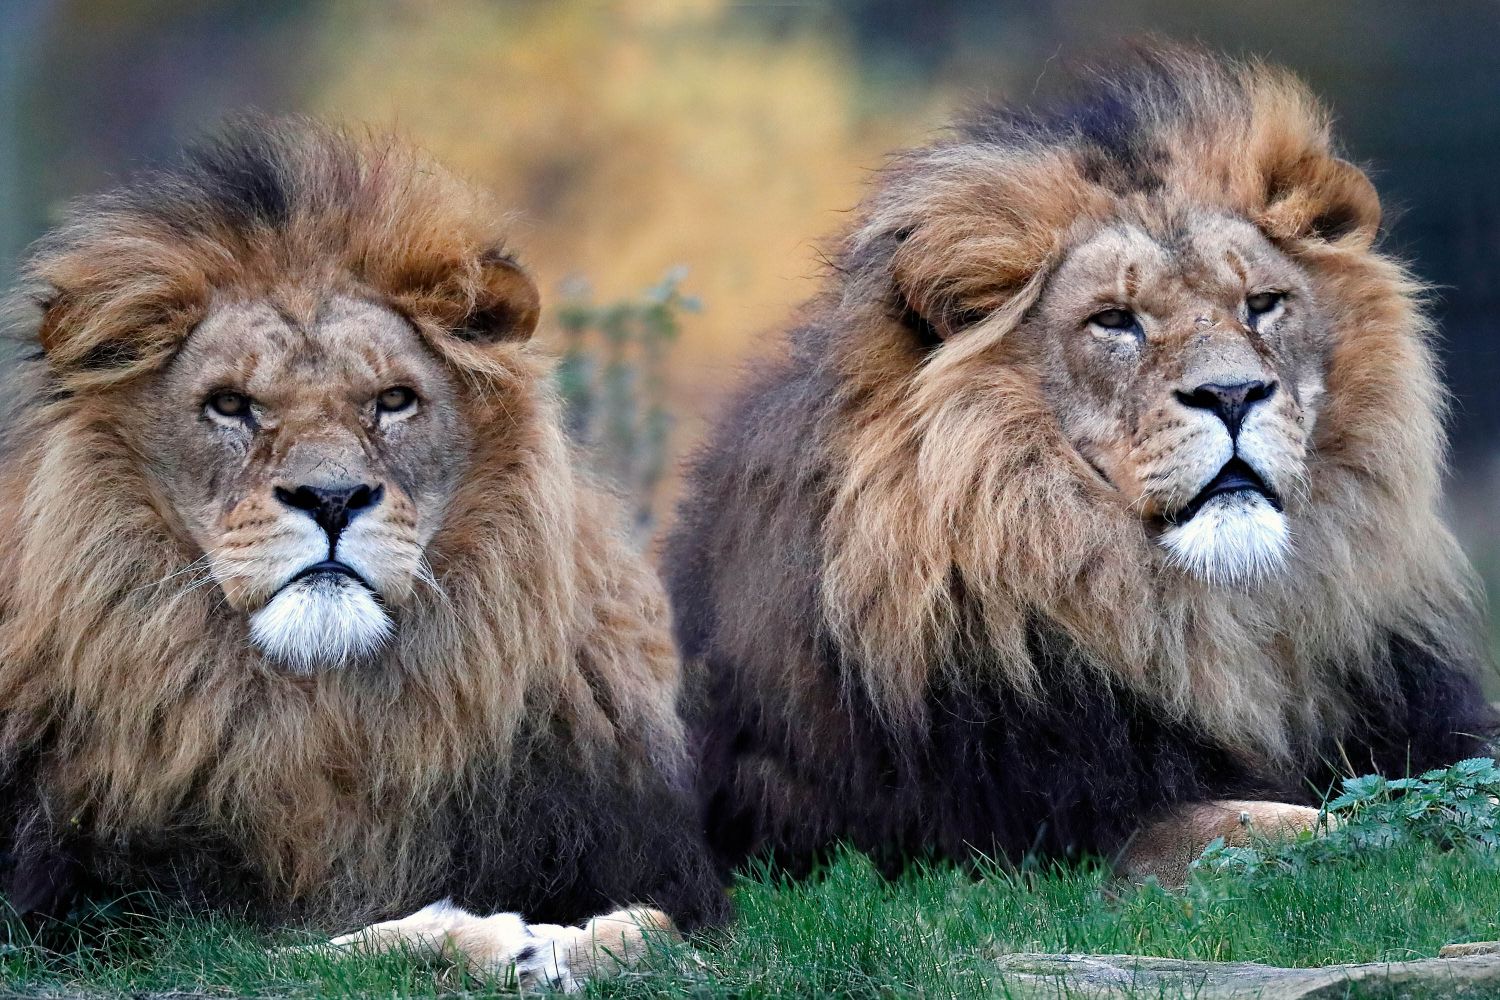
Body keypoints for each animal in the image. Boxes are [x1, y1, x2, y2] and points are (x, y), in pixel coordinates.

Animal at [0, 121, 726, 989]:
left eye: (394, 401)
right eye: (230, 405)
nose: (333, 498)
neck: (325, 709)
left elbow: (664, 924)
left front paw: (596, 940)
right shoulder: (98, 918)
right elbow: (293, 949)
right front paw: (501, 942)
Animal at [663, 44, 1494, 881]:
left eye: (1263, 304)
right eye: (1114, 322)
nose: (1232, 394)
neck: (1206, 616)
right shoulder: (1055, 838)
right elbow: (1310, 824)